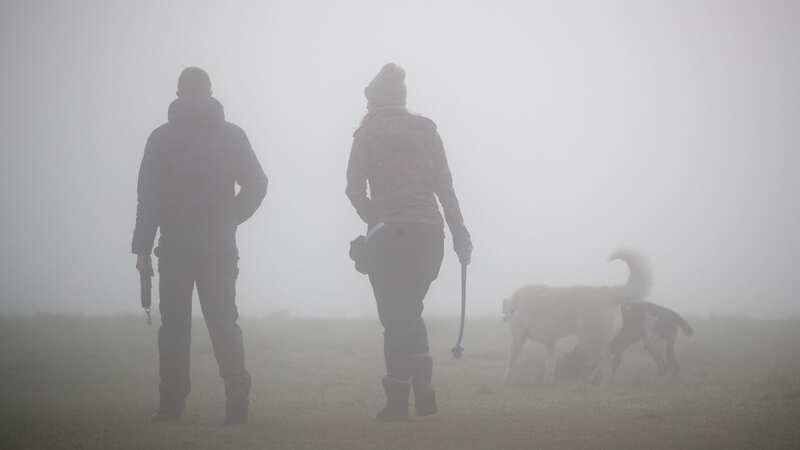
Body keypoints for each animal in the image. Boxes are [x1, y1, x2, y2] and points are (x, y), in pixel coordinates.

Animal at [504, 250, 652, 384]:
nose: (504, 318)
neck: (515, 303)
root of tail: (608, 291)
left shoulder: (518, 338)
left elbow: (511, 360)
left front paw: (507, 380)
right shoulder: (550, 342)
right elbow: (550, 364)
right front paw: (547, 381)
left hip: (590, 341)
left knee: (606, 361)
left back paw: (603, 384)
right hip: (597, 342)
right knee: (607, 359)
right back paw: (592, 380)